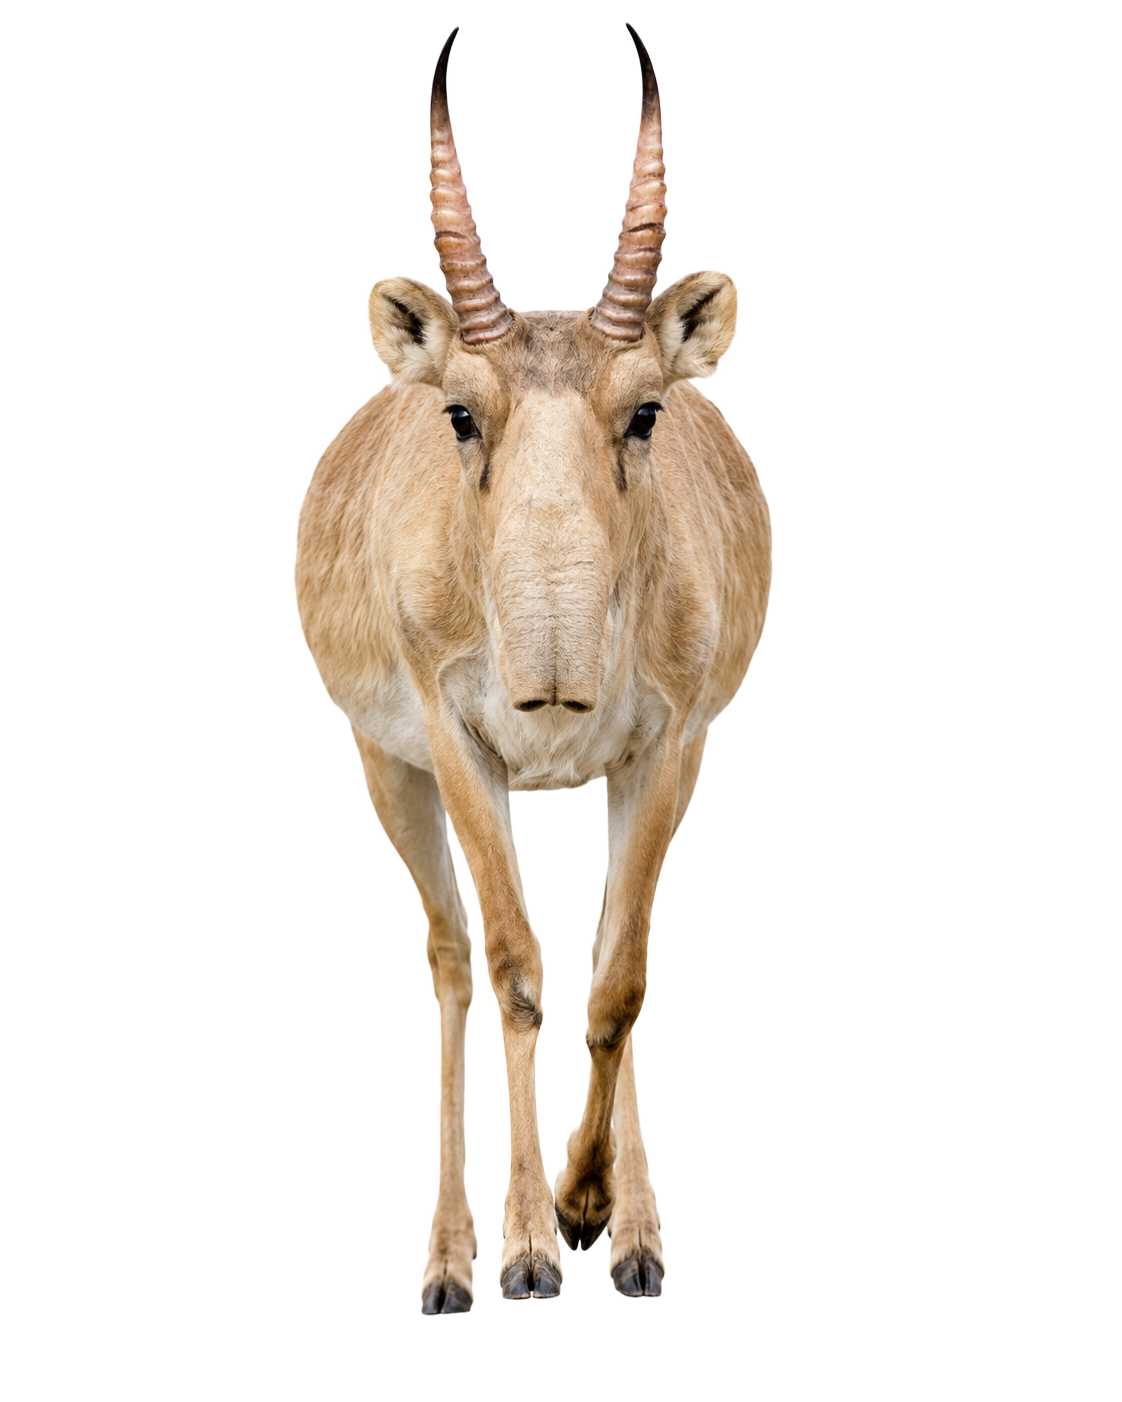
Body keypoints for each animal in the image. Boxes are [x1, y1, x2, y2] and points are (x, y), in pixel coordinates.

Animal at [296, 24, 771, 1312]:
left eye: (647, 409)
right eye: (461, 413)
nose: (552, 671)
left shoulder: (669, 749)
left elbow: (619, 978)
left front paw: (593, 1203)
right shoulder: (456, 745)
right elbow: (514, 969)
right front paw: (525, 1246)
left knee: (608, 943)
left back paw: (633, 1233)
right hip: (386, 770)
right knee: (453, 958)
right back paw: (453, 1258)